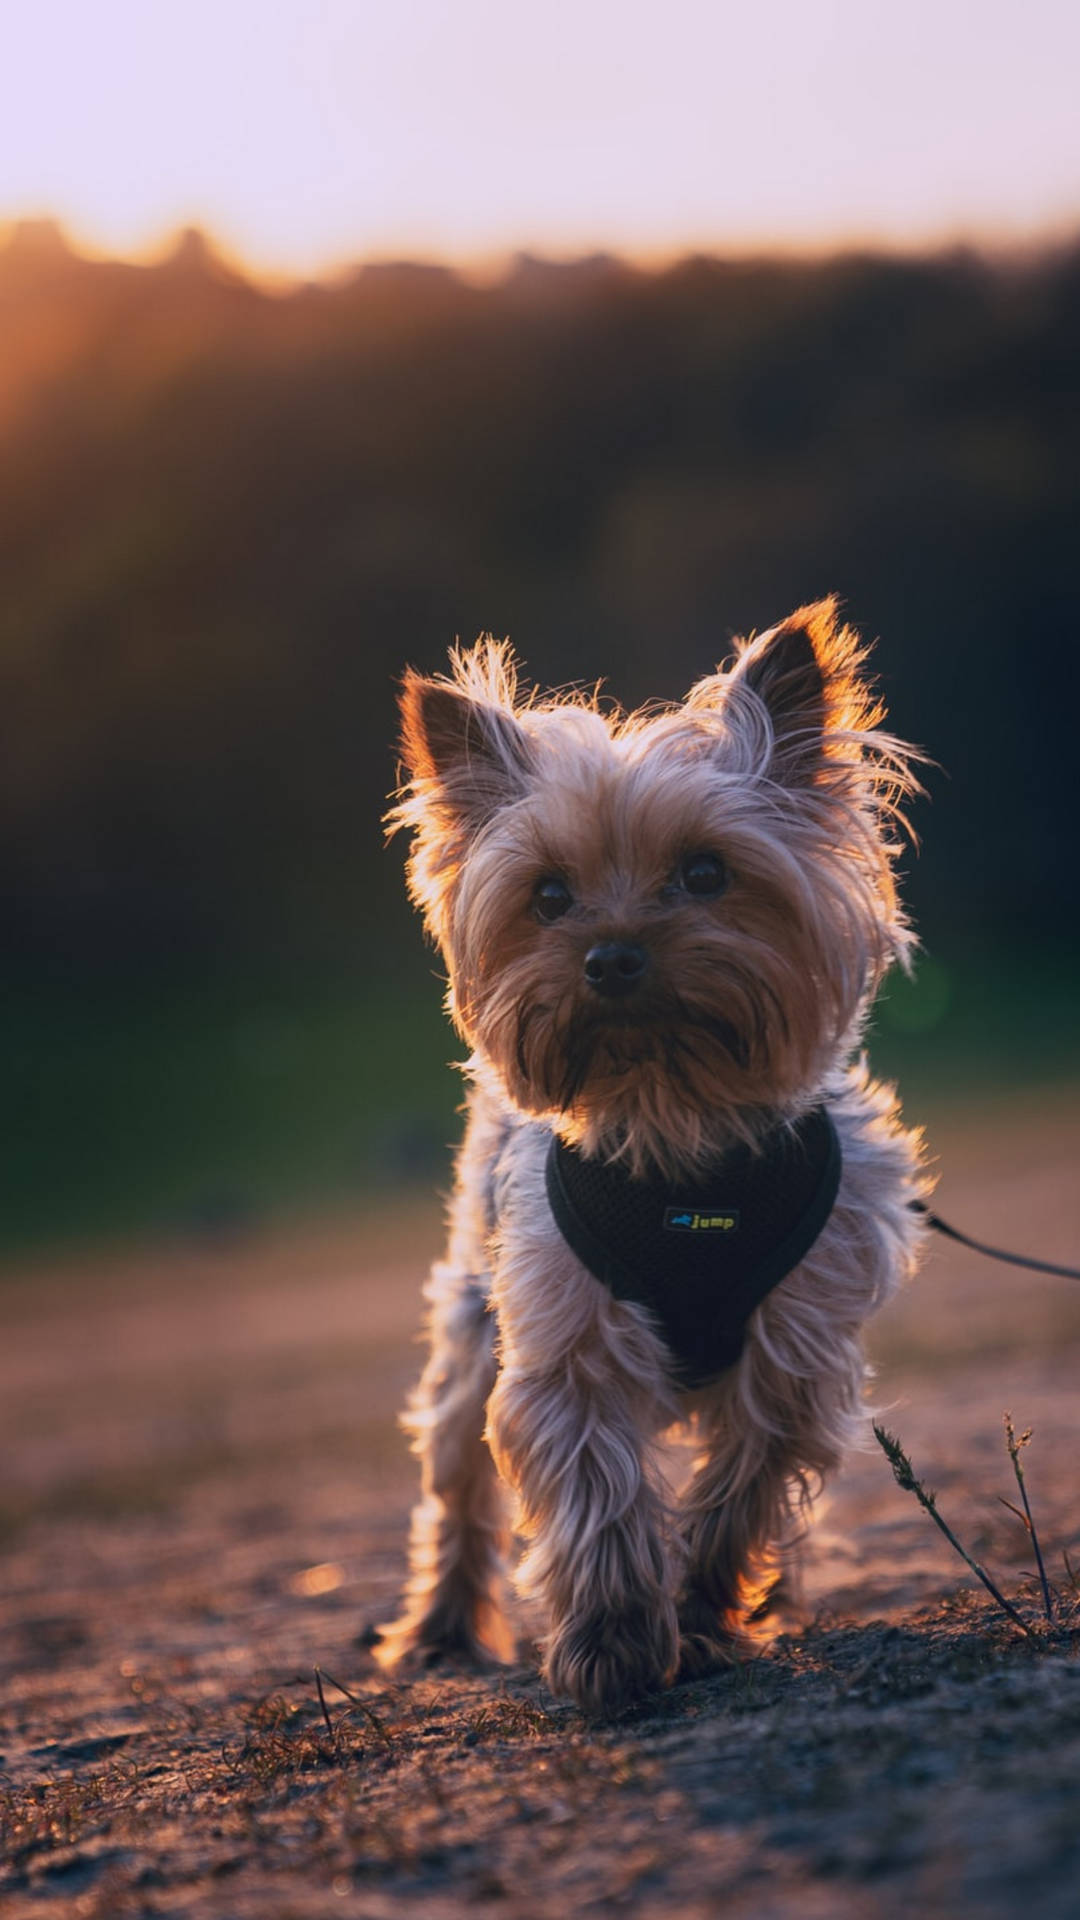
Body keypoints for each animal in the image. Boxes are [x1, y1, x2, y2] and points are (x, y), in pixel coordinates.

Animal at [378, 599, 926, 1712]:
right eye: (549, 896)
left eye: (707, 872)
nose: (613, 955)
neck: (678, 1132)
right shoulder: (565, 1337)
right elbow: (598, 1494)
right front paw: (612, 1646)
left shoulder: (795, 1349)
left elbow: (737, 1497)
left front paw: (707, 1616)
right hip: (470, 1324)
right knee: (457, 1489)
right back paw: (441, 1632)